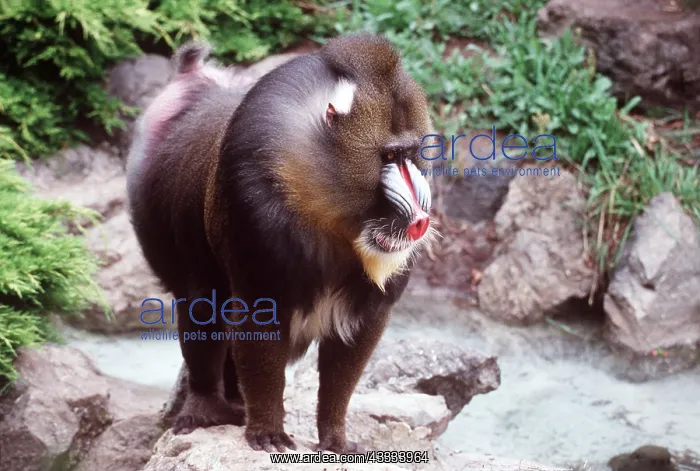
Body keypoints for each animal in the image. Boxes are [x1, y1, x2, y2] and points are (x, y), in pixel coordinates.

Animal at [126, 33, 436, 454]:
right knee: (199, 308)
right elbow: (259, 335)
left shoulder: (370, 306)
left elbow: (346, 362)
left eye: (410, 155)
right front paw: (267, 431)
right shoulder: (258, 252)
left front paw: (335, 438)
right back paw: (206, 407)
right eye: (389, 155)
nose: (419, 220)